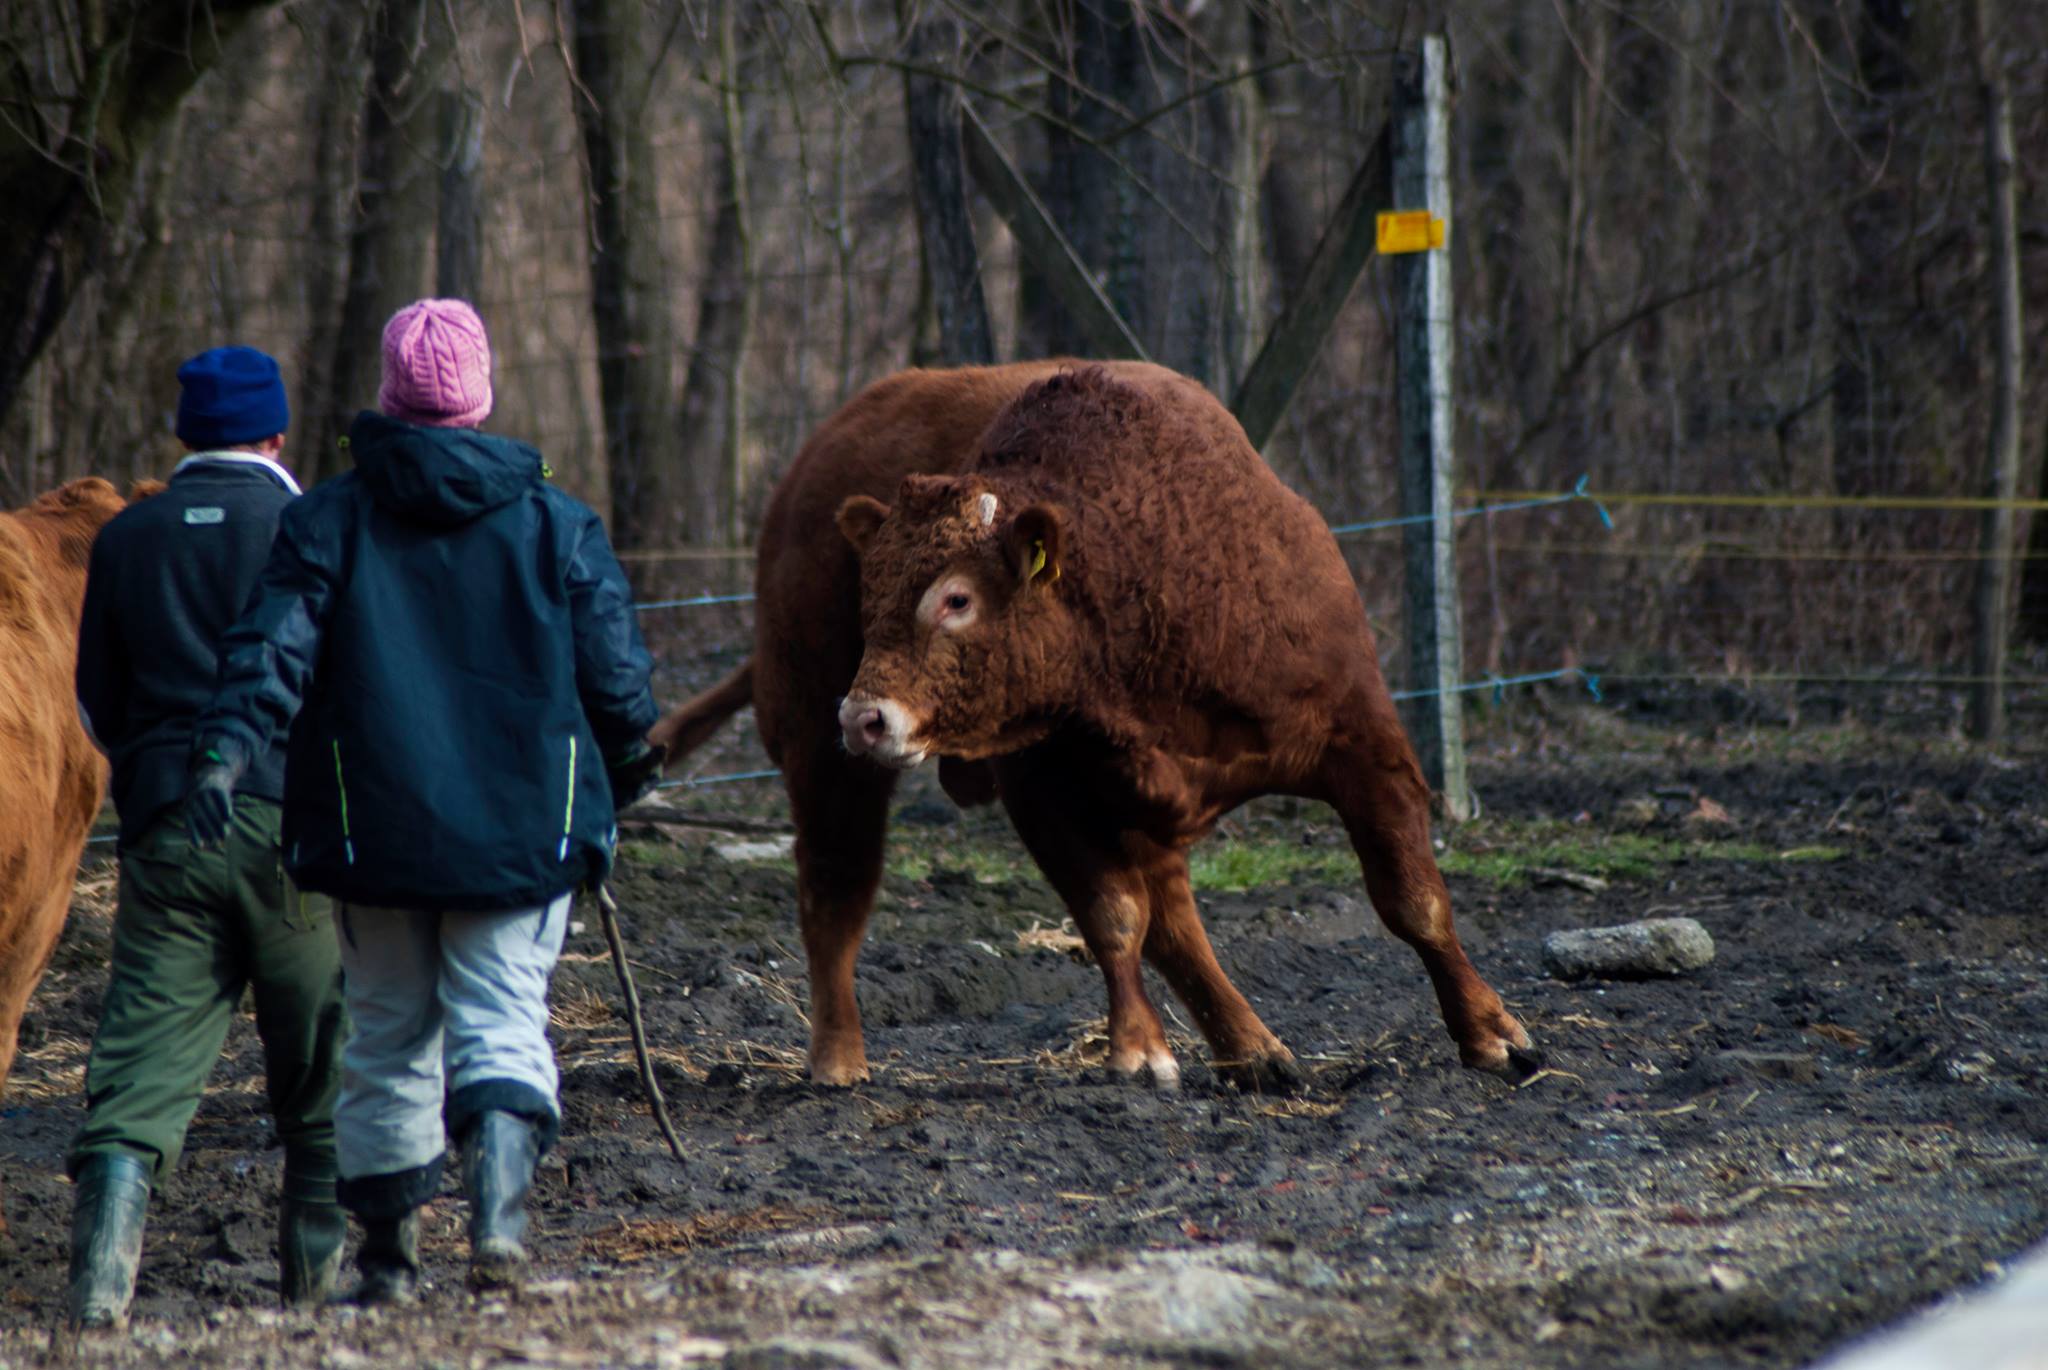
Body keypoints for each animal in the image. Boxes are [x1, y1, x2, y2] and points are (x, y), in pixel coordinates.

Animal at [655, 360, 1540, 1089]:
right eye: (868, 595)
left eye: (956, 597)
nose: (864, 716)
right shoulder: (1047, 789)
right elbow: (1111, 913)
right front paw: (1139, 1050)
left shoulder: (1362, 740)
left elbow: (1412, 899)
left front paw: (1493, 1034)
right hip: (818, 750)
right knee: (836, 889)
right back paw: (838, 1057)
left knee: (1176, 916)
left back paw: (1252, 1048)